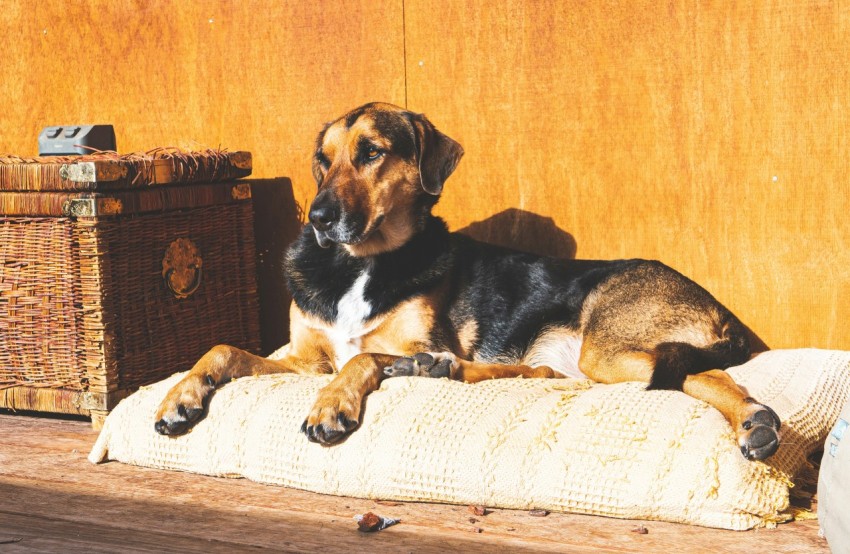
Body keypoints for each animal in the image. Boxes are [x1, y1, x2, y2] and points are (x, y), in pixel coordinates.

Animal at [156, 101, 780, 460]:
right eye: (323, 160)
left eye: (372, 152)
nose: (318, 218)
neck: (360, 263)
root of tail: (721, 311)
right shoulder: (304, 359)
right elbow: (223, 349)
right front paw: (179, 396)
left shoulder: (395, 344)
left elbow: (365, 357)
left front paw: (332, 406)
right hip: (589, 363)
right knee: (547, 371)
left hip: (609, 345)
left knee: (698, 373)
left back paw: (755, 421)